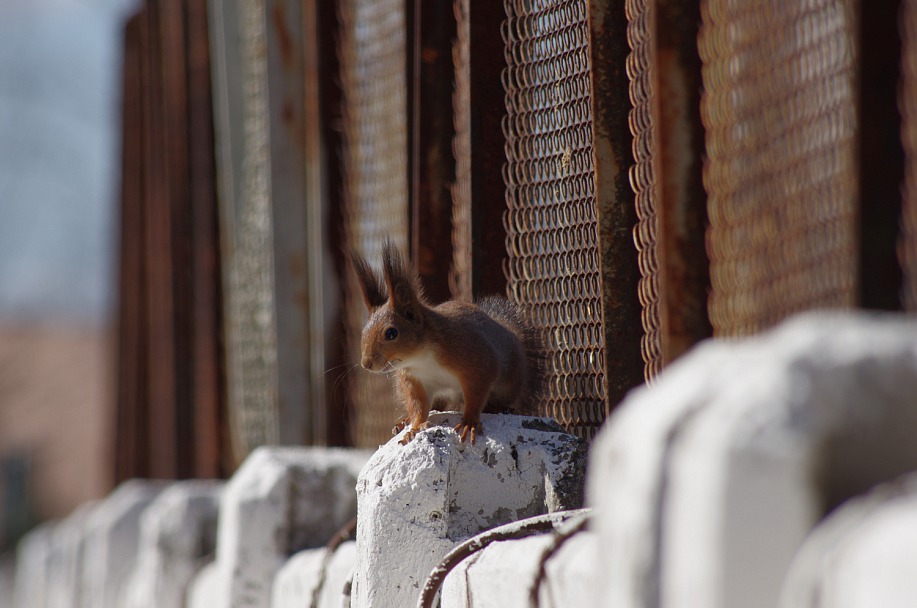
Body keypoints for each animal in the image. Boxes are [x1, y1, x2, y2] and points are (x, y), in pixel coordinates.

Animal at [350, 242, 544, 446]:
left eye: (391, 333)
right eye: (363, 332)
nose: (366, 364)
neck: (422, 358)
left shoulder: (476, 362)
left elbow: (476, 394)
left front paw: (469, 421)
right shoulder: (414, 381)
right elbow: (418, 406)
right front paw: (414, 427)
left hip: (509, 382)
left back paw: (499, 408)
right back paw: (404, 421)